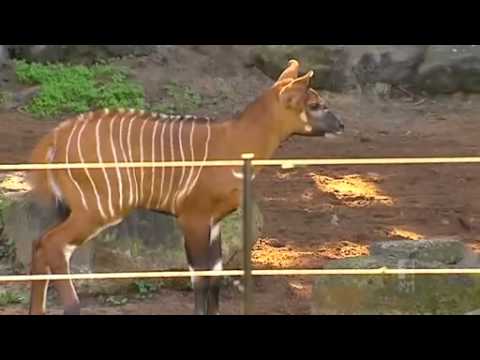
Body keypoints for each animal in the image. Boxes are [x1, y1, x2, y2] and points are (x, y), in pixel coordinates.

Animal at [26, 59, 344, 316]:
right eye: (315, 105)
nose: (341, 125)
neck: (235, 141)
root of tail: (55, 139)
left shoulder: (214, 222)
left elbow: (214, 275)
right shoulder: (193, 218)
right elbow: (199, 278)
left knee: (39, 243)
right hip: (99, 209)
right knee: (53, 244)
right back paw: (73, 307)